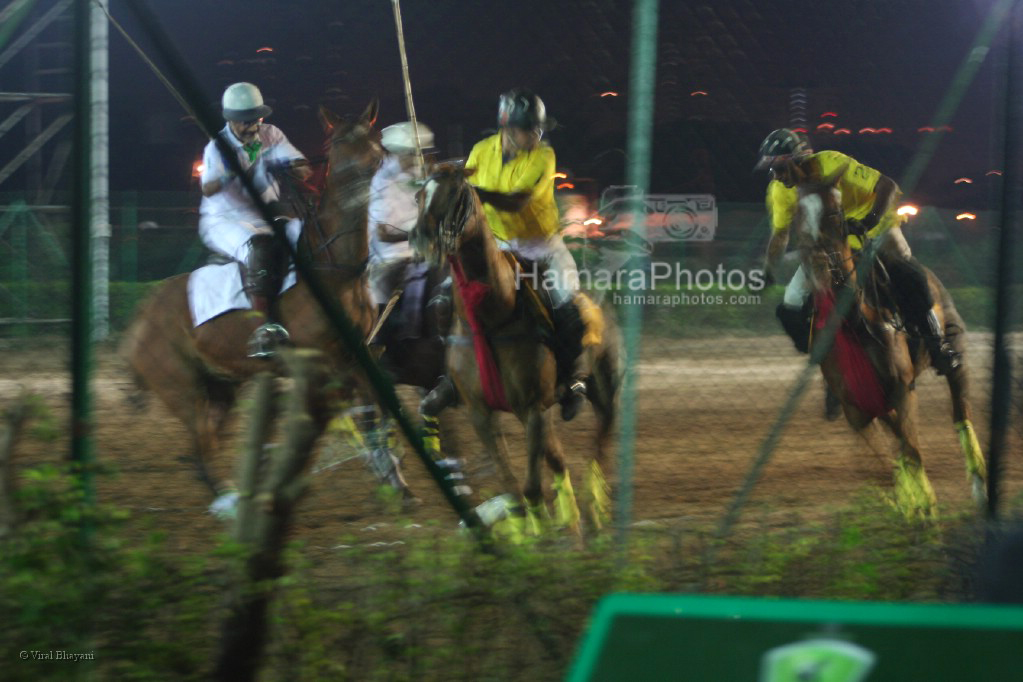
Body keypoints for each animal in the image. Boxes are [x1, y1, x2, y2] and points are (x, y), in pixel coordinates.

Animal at [123, 100, 384, 507]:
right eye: (341, 142)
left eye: (374, 139)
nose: (367, 175)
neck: (336, 266)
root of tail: (140, 318)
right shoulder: (321, 362)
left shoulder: (358, 352)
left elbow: (373, 409)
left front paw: (395, 482)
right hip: (179, 384)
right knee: (201, 440)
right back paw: (228, 500)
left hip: (220, 384)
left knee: (208, 437)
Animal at [409, 163, 617, 539]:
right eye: (419, 195)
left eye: (457, 194)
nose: (421, 238)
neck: (494, 317)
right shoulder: (481, 413)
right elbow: (511, 487)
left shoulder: (532, 409)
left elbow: (532, 486)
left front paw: (541, 532)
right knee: (559, 458)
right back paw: (571, 519)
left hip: (603, 390)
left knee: (599, 444)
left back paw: (593, 510)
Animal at [793, 170, 986, 517]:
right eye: (797, 217)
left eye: (834, 213)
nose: (820, 265)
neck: (856, 322)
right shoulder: (858, 407)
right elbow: (894, 457)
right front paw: (912, 504)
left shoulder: (900, 387)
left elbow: (910, 451)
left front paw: (926, 508)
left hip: (955, 350)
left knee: (961, 412)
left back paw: (979, 488)